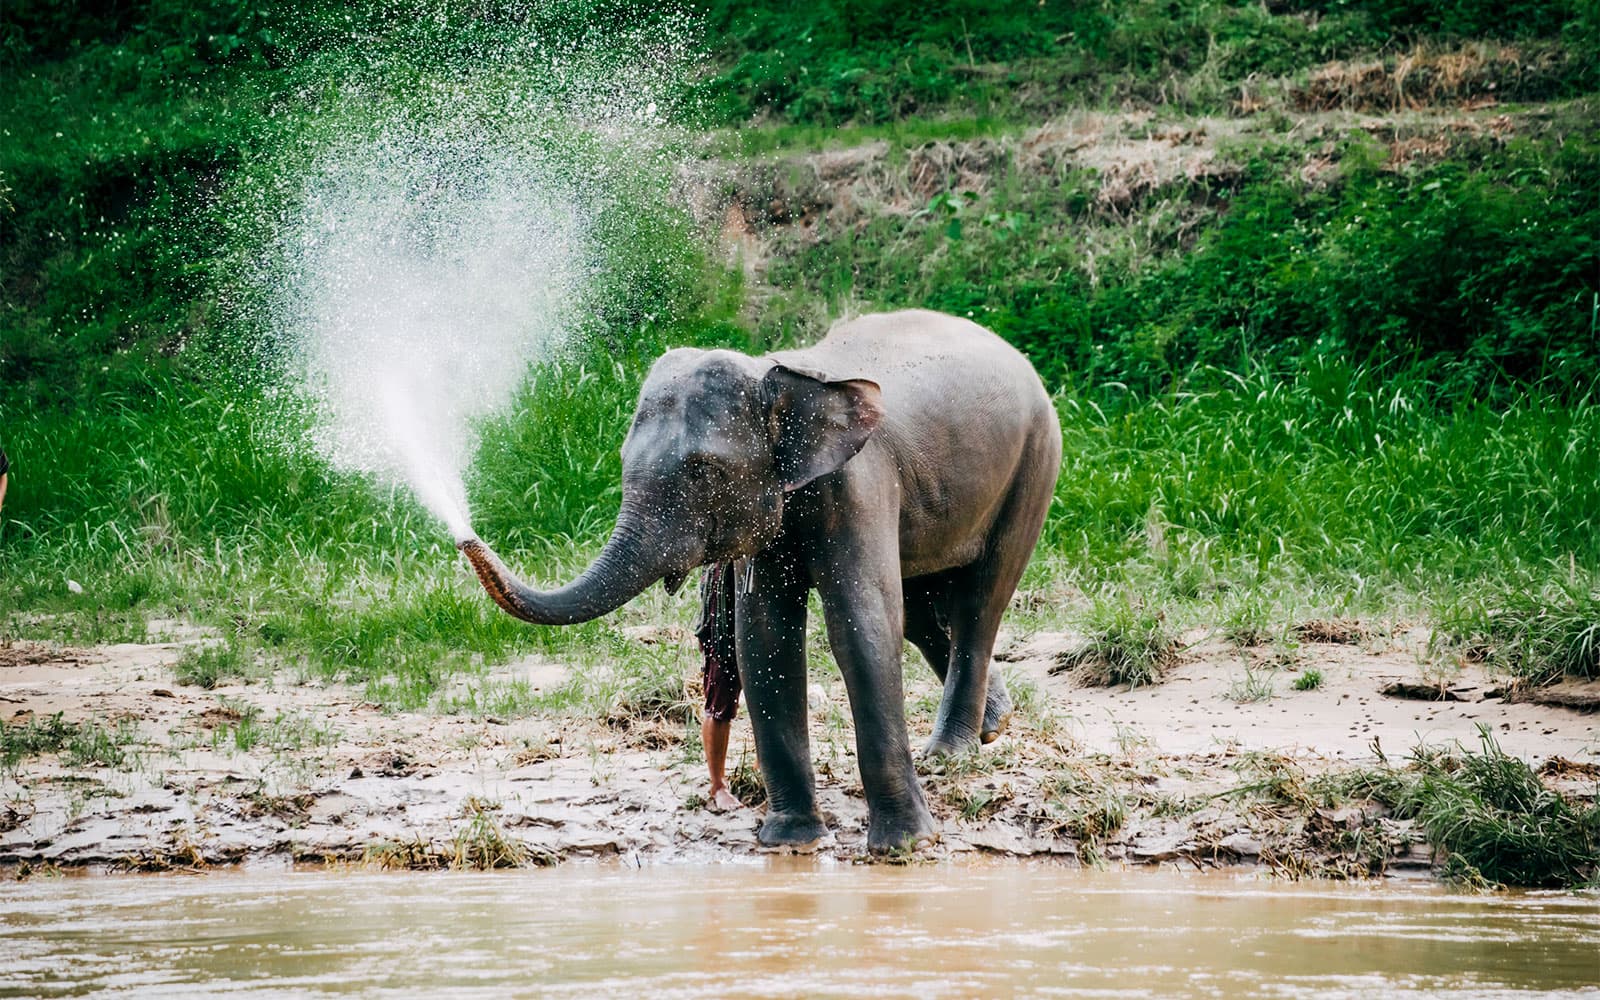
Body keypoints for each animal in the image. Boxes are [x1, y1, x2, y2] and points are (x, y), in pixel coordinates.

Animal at [459, 309, 1063, 852]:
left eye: (704, 470)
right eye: (623, 458)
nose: (465, 538)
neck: (778, 375)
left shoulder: (859, 484)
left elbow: (860, 626)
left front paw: (904, 847)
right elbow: (767, 638)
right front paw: (793, 843)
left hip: (1036, 459)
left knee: (980, 601)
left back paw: (951, 752)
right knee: (921, 610)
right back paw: (993, 725)